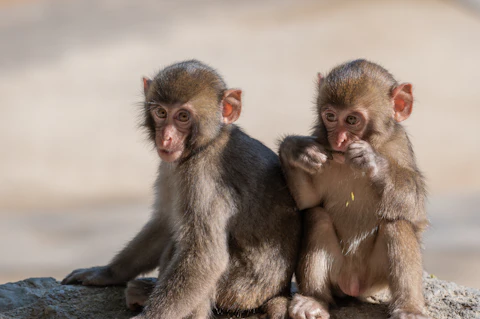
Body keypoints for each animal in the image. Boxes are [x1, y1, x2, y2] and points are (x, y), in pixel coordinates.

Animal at [61, 60, 298, 319]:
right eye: (161, 113)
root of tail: (279, 291)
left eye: (183, 116)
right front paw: (107, 273)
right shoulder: (170, 167)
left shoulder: (203, 178)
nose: (166, 138)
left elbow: (205, 256)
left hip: (242, 291)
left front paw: (148, 317)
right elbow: (165, 222)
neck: (204, 145)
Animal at [280, 60, 430, 319]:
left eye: (351, 120)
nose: (338, 141)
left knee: (397, 223)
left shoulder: (399, 145)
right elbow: (309, 201)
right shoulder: (323, 147)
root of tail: (352, 284)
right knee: (317, 217)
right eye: (330, 116)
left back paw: (409, 307)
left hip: (375, 278)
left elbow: (415, 207)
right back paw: (314, 300)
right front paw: (296, 150)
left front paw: (374, 162)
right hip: (338, 273)